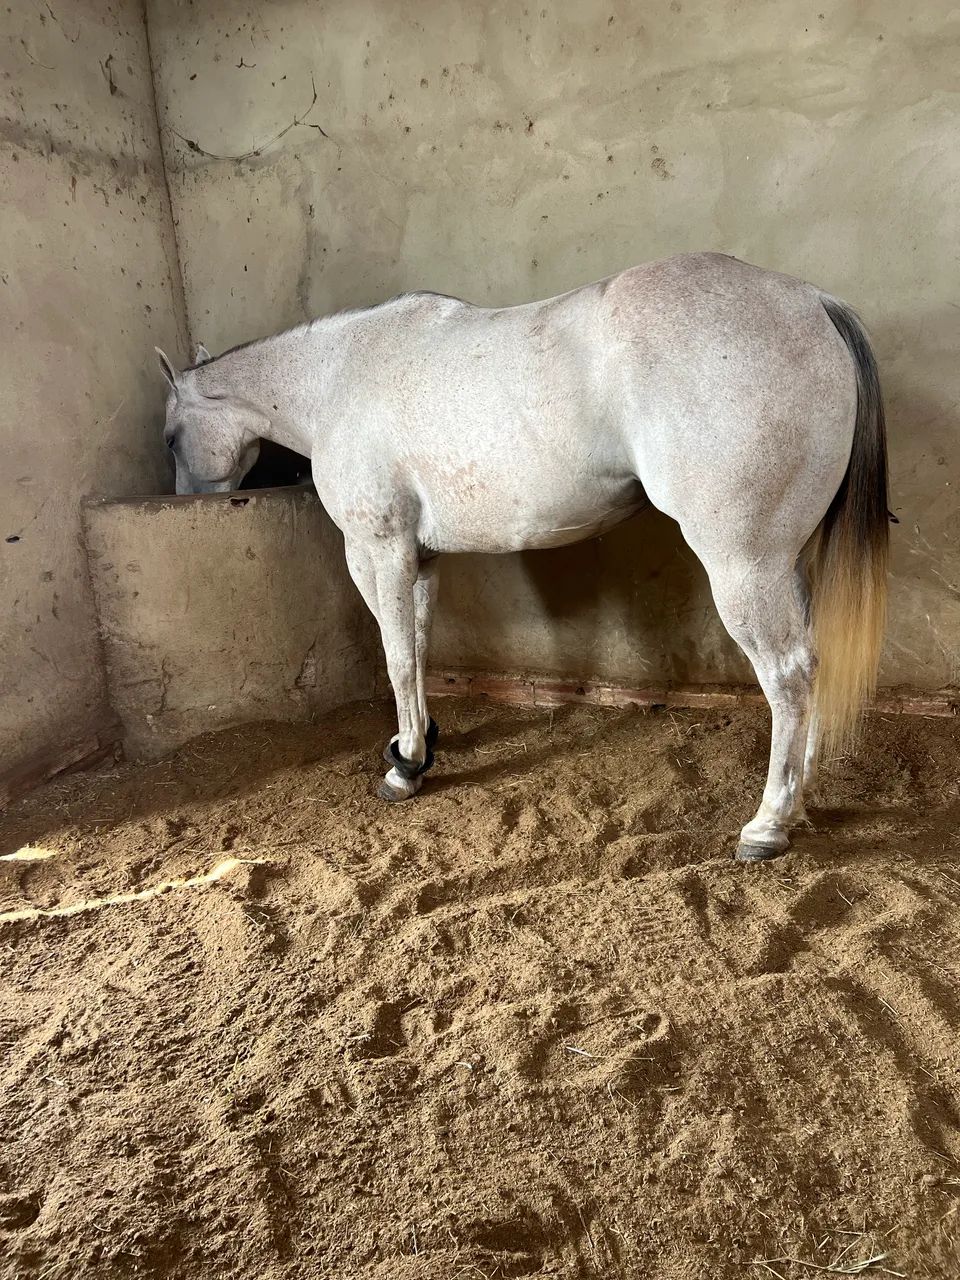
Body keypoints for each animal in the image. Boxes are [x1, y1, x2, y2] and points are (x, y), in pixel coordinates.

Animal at [156, 252, 889, 862]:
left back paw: (768, 824)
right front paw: (421, 743)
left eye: (169, 436)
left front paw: (404, 765)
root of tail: (813, 301)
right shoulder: (420, 557)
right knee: (811, 662)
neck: (338, 379)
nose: (186, 501)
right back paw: (802, 793)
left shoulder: (378, 549)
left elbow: (396, 655)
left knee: (788, 674)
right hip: (787, 562)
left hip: (745, 566)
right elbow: (419, 644)